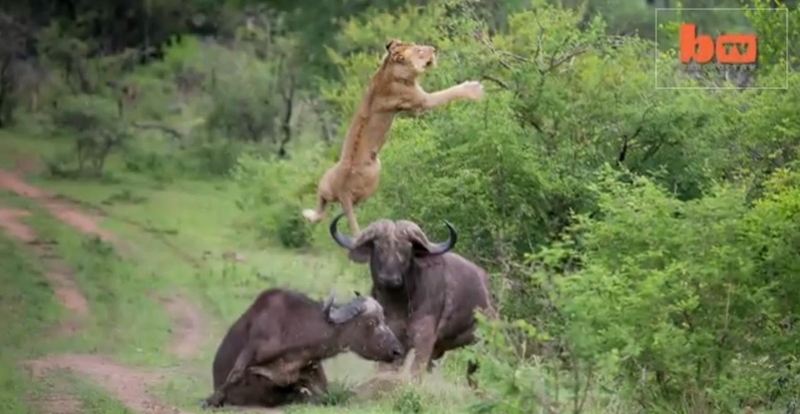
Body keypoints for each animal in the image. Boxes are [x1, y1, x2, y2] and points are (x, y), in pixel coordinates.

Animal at [203, 288, 404, 408]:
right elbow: (235, 374)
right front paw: (212, 400)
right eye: (371, 322)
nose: (397, 351)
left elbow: (327, 394)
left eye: (384, 320)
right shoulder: (254, 348)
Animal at [328, 213, 496, 388]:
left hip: (481, 345)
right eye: (380, 248)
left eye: (406, 251)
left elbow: (415, 372)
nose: (389, 279)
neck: (398, 306)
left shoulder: (424, 338)